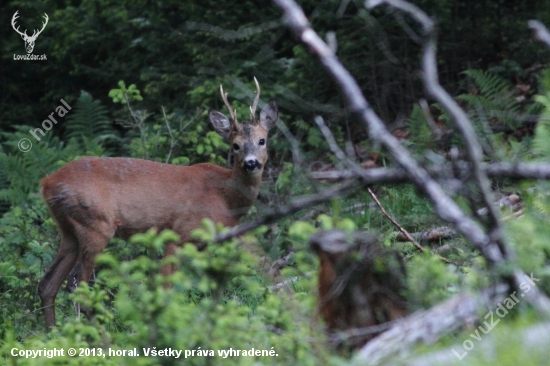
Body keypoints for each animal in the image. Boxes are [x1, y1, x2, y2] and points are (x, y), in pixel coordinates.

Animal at [38, 78, 278, 328]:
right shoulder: (179, 232)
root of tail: (47, 183)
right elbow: (165, 287)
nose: (251, 163)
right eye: (235, 145)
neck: (225, 197)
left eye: (262, 140)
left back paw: (53, 333)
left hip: (69, 229)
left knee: (48, 284)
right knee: (77, 285)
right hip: (95, 224)